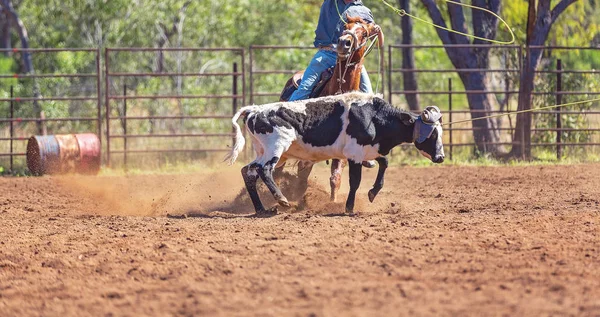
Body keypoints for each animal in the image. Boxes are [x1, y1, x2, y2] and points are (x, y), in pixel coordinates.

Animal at [226, 91, 446, 215]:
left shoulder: (369, 150)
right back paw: (281, 200)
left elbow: (384, 163)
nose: (440, 157)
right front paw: (349, 208)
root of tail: (255, 110)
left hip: (264, 151)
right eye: (432, 134)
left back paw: (261, 209)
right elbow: (355, 182)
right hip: (276, 148)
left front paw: (373, 192)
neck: (374, 117)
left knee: (249, 172)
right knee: (264, 170)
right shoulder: (354, 154)